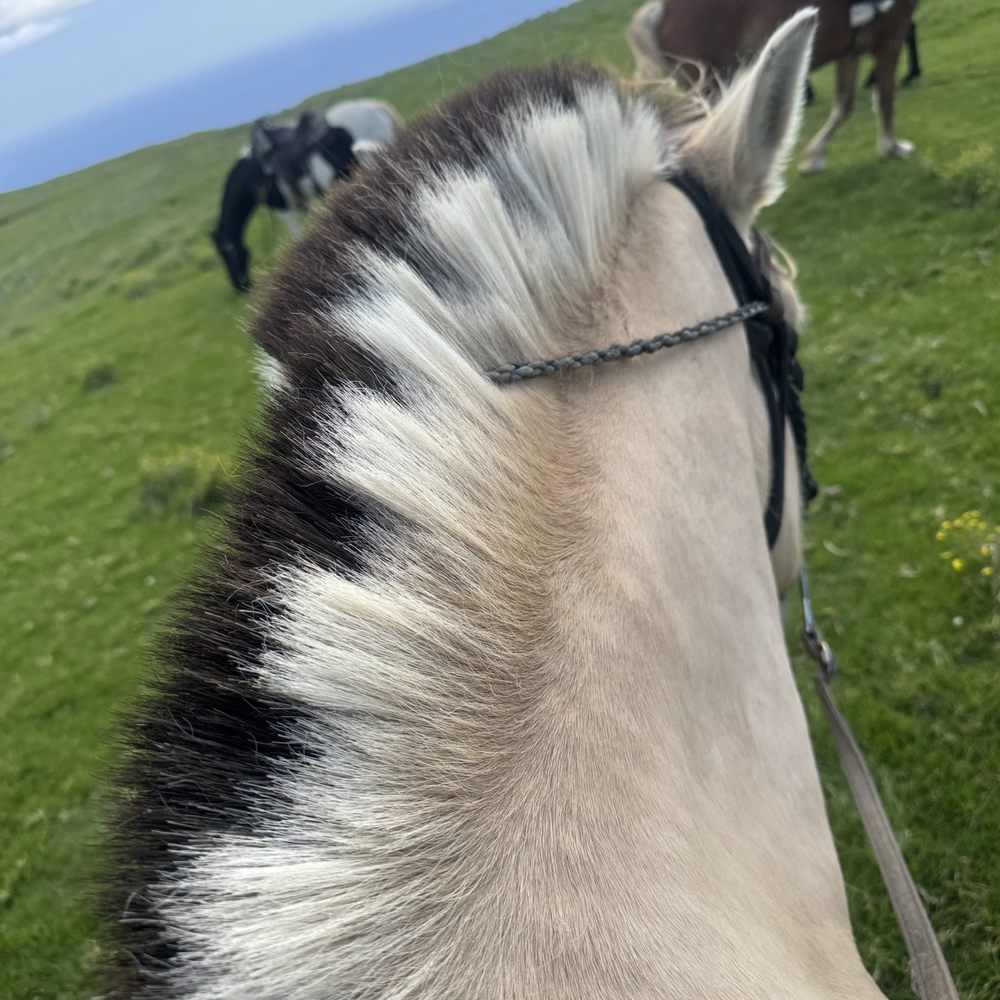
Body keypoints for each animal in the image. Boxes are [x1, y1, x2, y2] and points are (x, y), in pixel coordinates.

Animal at [211, 99, 401, 292]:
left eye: (228, 254)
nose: (239, 285)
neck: (254, 172)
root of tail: (378, 109)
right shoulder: (301, 203)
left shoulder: (284, 208)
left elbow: (297, 235)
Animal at [629, 0, 919, 173]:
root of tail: (663, 12)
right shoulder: (891, 38)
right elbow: (885, 99)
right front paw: (891, 147)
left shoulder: (850, 52)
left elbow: (843, 106)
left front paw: (814, 157)